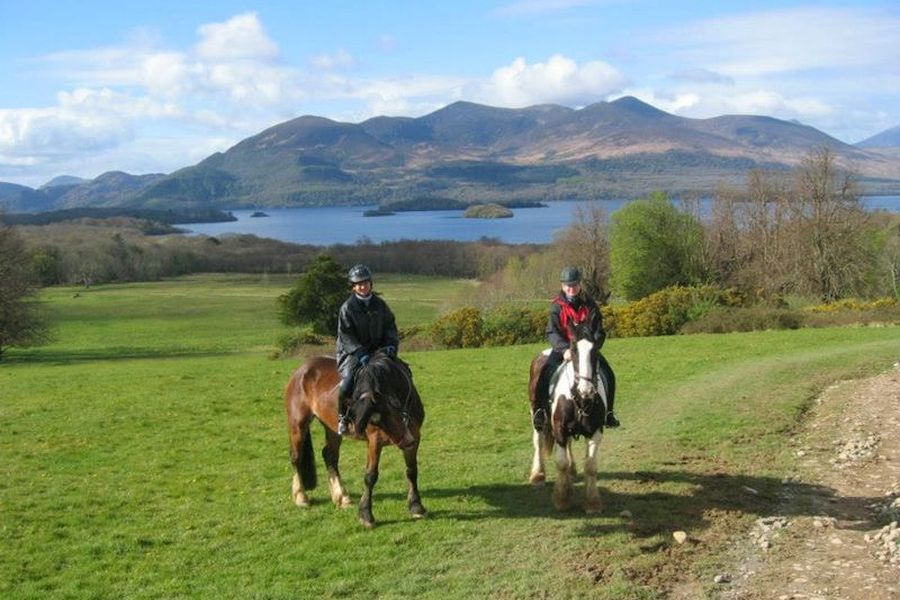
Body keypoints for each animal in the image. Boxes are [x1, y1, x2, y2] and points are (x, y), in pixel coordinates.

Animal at [284, 350, 428, 528]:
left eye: (394, 405)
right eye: (374, 420)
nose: (406, 441)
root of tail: (302, 370)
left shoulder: (415, 436)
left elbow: (411, 471)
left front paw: (416, 506)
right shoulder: (375, 441)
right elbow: (370, 476)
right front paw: (366, 514)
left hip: (332, 428)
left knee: (330, 456)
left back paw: (342, 496)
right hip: (298, 425)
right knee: (296, 457)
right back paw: (301, 497)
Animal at [528, 322, 604, 512]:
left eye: (595, 350)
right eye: (573, 349)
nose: (586, 389)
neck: (579, 399)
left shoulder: (595, 431)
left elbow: (590, 466)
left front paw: (592, 503)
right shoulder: (559, 429)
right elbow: (561, 463)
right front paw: (562, 499)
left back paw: (572, 470)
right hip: (536, 415)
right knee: (538, 441)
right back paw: (538, 475)